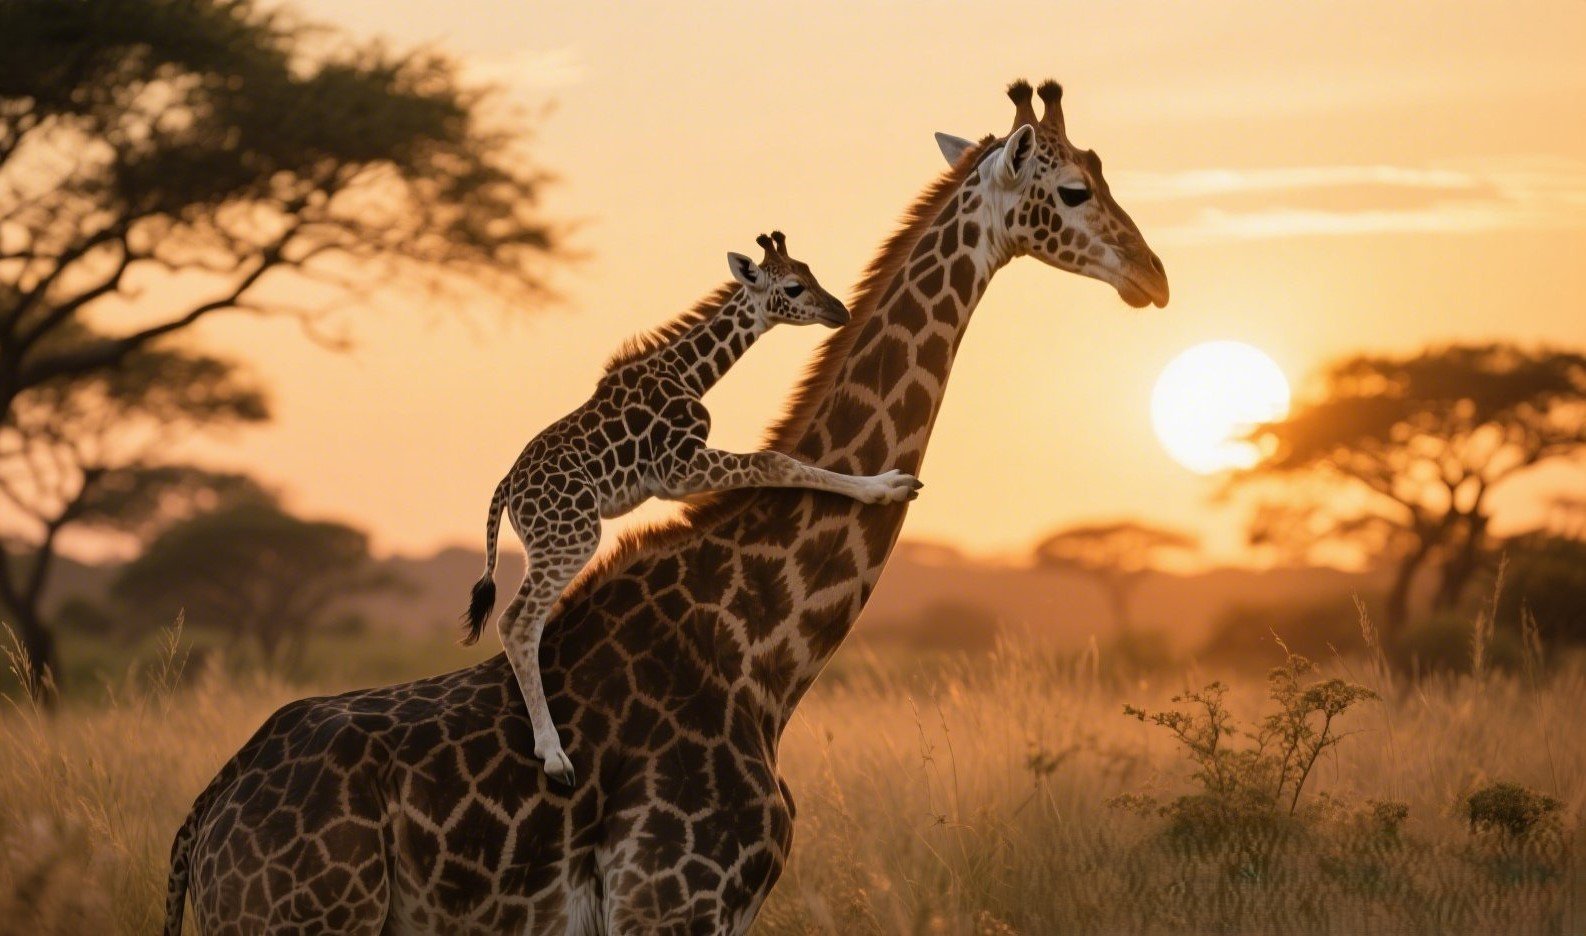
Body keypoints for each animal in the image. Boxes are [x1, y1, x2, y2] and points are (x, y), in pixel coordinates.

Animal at [462, 230, 922, 788]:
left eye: (810, 272)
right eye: (793, 286)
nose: (839, 310)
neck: (690, 373)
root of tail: (507, 489)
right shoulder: (678, 468)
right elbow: (774, 459)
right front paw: (886, 487)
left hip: (549, 541)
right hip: (571, 534)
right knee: (517, 621)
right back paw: (554, 756)